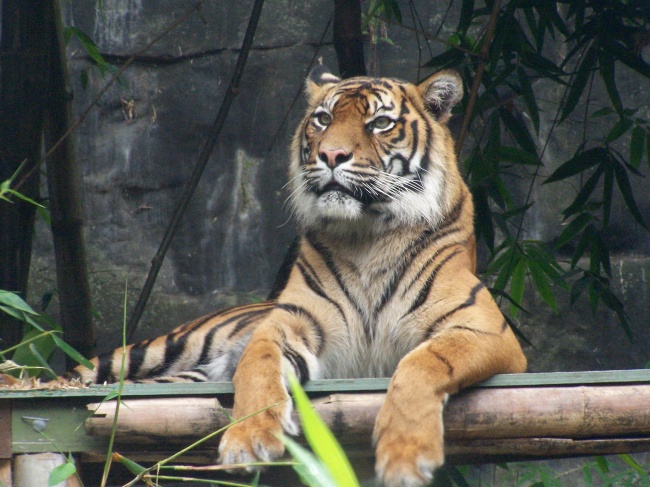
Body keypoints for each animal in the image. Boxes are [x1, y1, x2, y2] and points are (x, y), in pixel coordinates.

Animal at [68, 66, 524, 487]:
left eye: (380, 123)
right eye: (323, 119)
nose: (332, 155)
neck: (368, 235)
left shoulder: (484, 327)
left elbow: (422, 362)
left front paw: (405, 455)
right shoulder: (292, 321)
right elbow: (257, 365)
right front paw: (248, 439)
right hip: (153, 351)